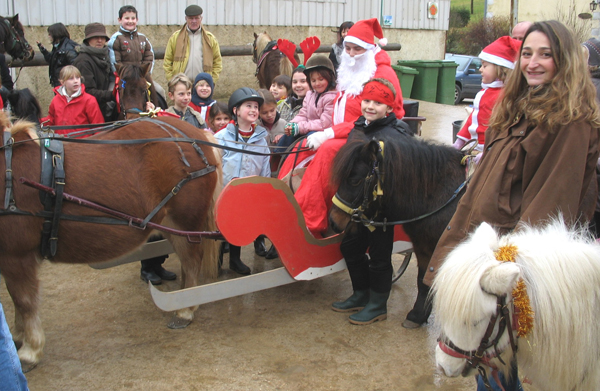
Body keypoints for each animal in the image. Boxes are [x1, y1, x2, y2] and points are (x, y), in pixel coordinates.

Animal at [0, 112, 223, 370]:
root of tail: (196, 135)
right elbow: (17, 299)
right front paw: (17, 338)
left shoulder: (16, 254)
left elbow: (24, 300)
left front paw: (29, 350)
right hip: (170, 223)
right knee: (188, 261)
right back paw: (185, 297)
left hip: (184, 221)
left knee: (191, 260)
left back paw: (185, 309)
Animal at [328, 137, 464, 328]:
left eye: (354, 180)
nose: (333, 221)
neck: (444, 194)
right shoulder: (423, 247)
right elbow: (423, 279)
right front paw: (418, 315)